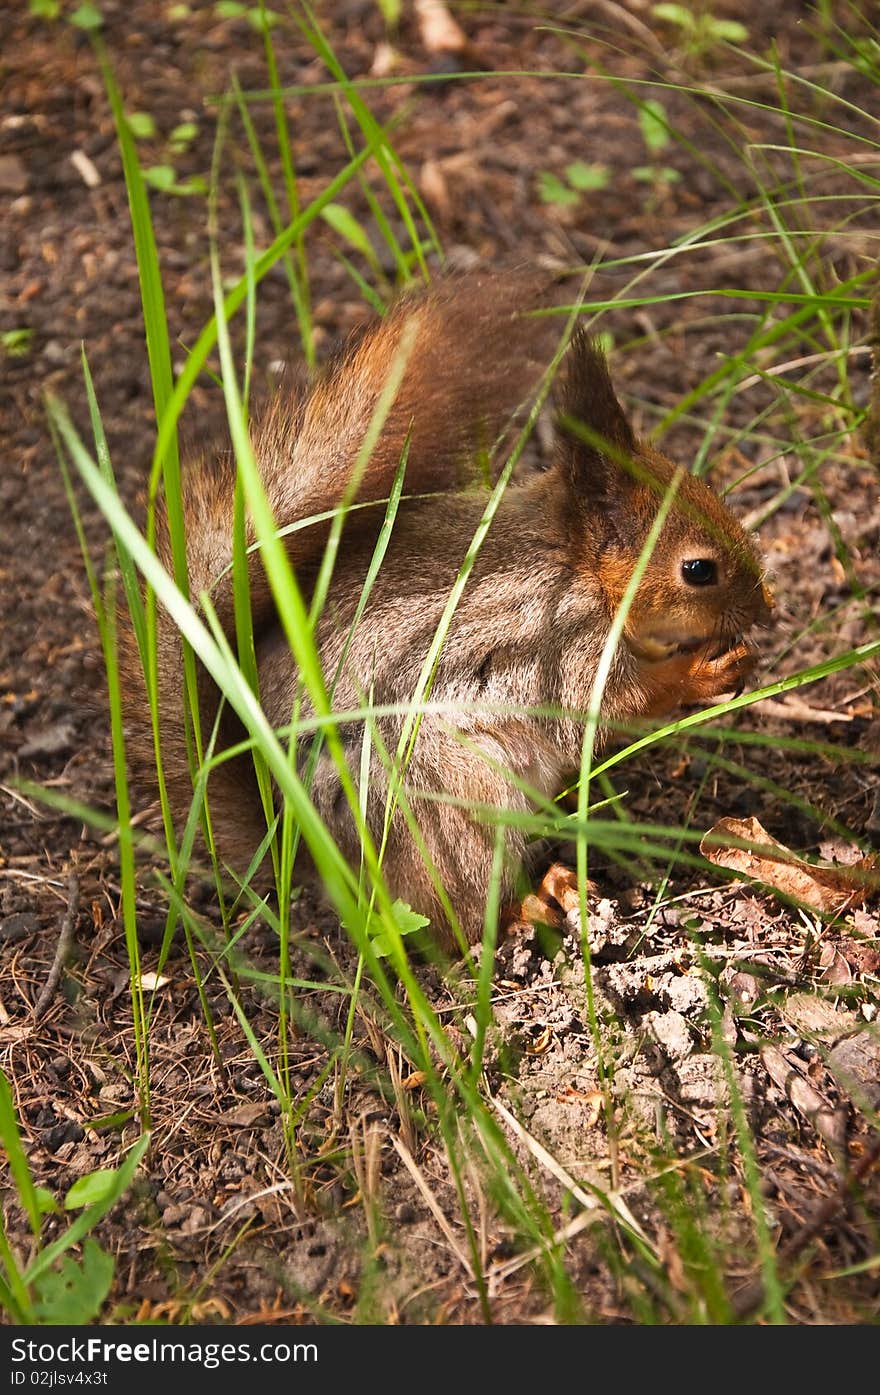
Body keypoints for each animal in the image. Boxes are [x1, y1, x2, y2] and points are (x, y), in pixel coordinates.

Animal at [122, 270, 769, 948]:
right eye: (699, 571)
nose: (766, 607)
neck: (581, 571)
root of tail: (318, 861)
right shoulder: (565, 649)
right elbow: (619, 704)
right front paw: (706, 671)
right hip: (454, 803)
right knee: (457, 911)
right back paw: (529, 904)